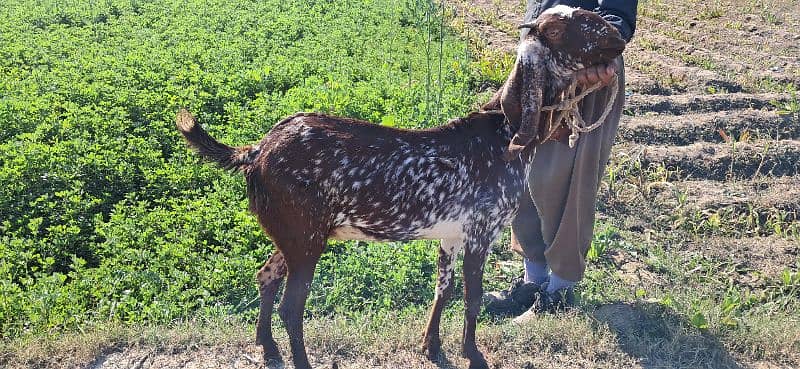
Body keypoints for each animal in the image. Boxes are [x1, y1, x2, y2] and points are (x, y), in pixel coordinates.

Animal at [175, 5, 624, 368]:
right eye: (570, 24)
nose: (617, 34)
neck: (502, 133)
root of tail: (257, 151)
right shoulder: (482, 231)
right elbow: (472, 297)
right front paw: (473, 354)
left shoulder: (450, 236)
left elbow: (442, 290)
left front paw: (432, 347)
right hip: (305, 238)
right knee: (292, 307)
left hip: (292, 233)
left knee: (266, 276)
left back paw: (268, 349)